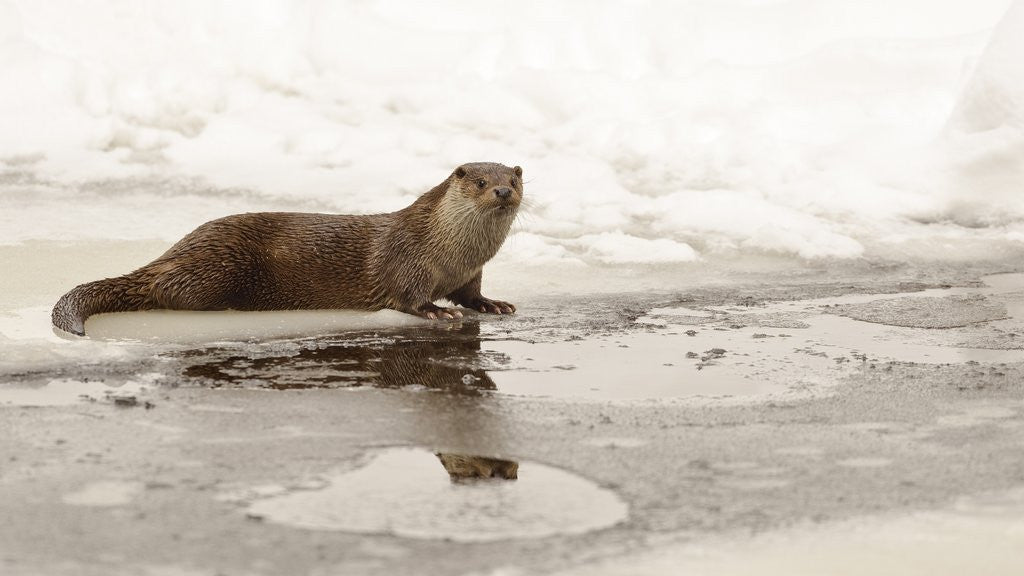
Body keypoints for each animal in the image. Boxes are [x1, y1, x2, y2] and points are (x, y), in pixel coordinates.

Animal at [52, 162, 522, 336]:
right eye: (481, 181)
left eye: (515, 179)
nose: (502, 191)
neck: (451, 253)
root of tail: (174, 251)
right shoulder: (407, 260)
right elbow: (408, 298)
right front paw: (437, 312)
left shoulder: (470, 273)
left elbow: (472, 294)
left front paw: (492, 304)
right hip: (217, 266)